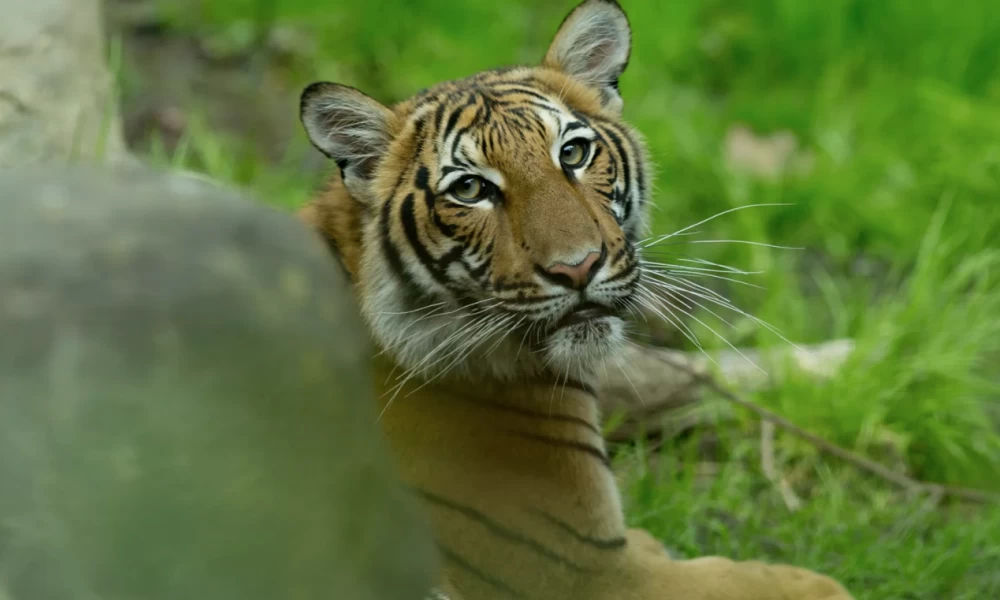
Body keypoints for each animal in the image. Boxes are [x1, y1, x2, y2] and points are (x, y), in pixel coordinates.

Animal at [294, 1, 852, 600]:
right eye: (469, 189)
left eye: (574, 153)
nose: (577, 267)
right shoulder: (586, 568)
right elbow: (758, 582)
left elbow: (690, 373)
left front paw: (843, 363)